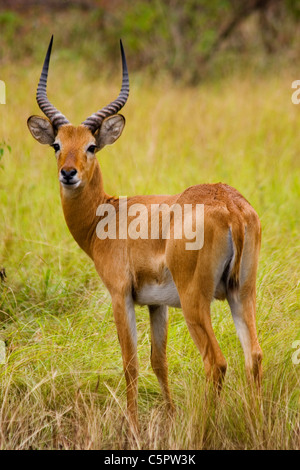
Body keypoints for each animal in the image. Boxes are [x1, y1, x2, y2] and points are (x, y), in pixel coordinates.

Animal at [28, 36, 262, 432]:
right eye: (57, 145)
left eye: (91, 146)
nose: (68, 173)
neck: (108, 215)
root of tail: (230, 206)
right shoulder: (156, 304)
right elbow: (158, 361)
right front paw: (168, 416)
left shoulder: (120, 295)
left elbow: (131, 363)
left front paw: (134, 428)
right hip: (240, 293)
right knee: (254, 357)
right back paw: (257, 425)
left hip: (196, 301)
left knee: (216, 362)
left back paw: (204, 429)